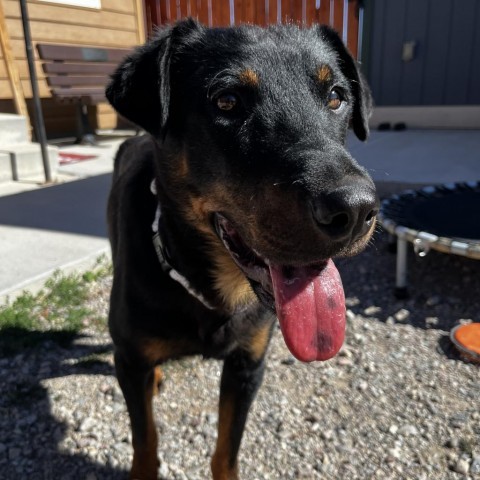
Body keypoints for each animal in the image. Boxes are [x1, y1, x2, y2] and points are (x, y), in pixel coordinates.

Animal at [106, 18, 378, 480]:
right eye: (227, 101)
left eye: (336, 97)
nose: (356, 210)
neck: (210, 288)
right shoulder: (130, 360)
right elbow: (145, 442)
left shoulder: (247, 365)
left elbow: (226, 451)